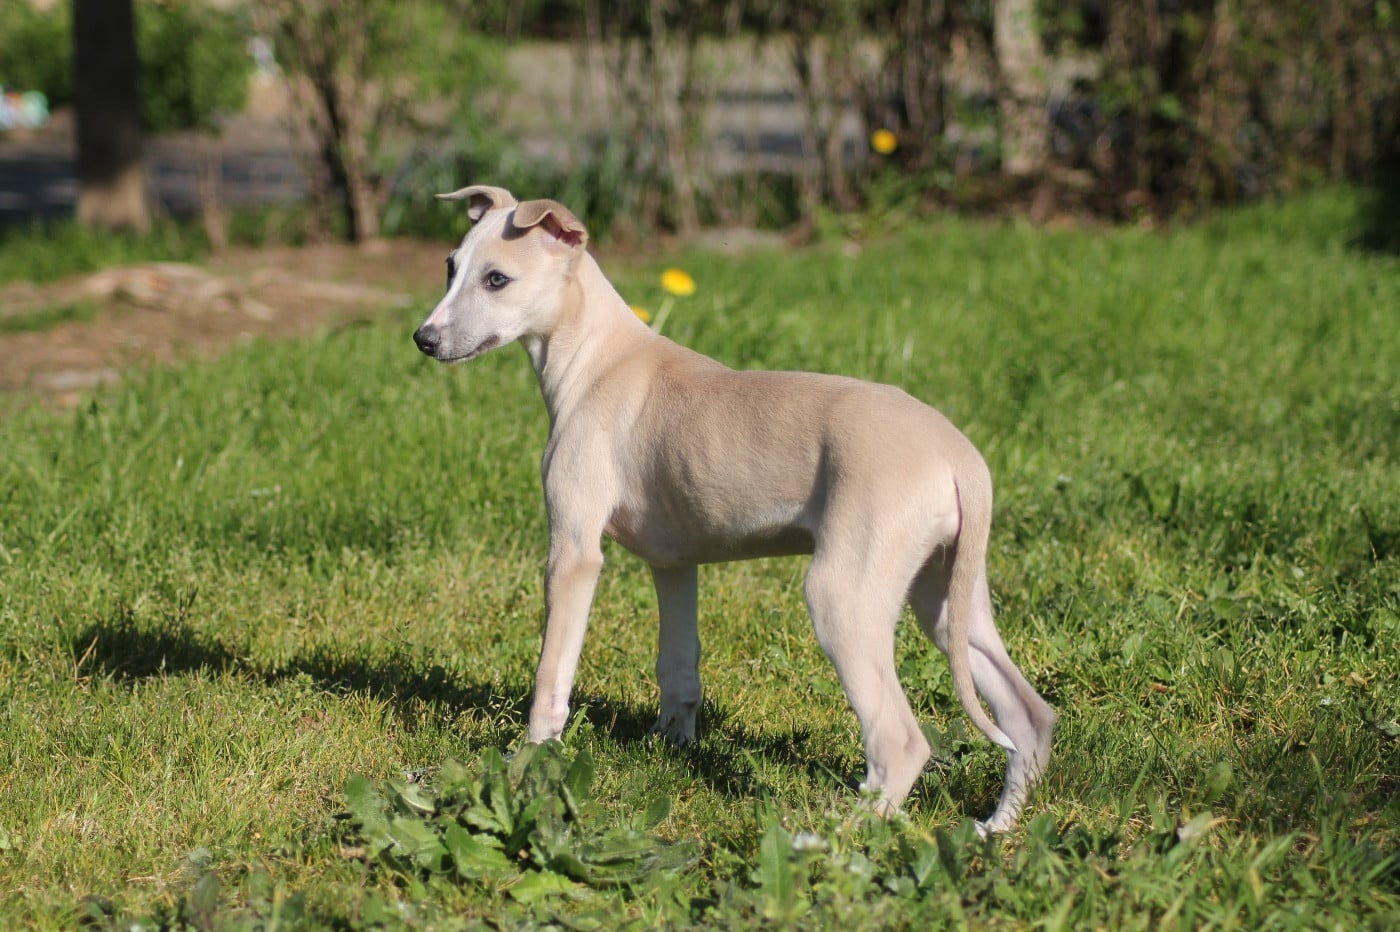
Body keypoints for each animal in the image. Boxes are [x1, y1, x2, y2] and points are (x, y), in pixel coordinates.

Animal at [413, 185, 1055, 832]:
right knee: (1029, 715)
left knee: (900, 741)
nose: (424, 339)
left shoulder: (573, 551)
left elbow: (551, 675)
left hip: (843, 594)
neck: (598, 357)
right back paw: (995, 829)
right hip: (946, 596)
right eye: (449, 267)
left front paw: (528, 765)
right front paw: (670, 748)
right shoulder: (673, 564)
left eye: (497, 279)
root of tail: (959, 456)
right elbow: (678, 667)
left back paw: (833, 837)